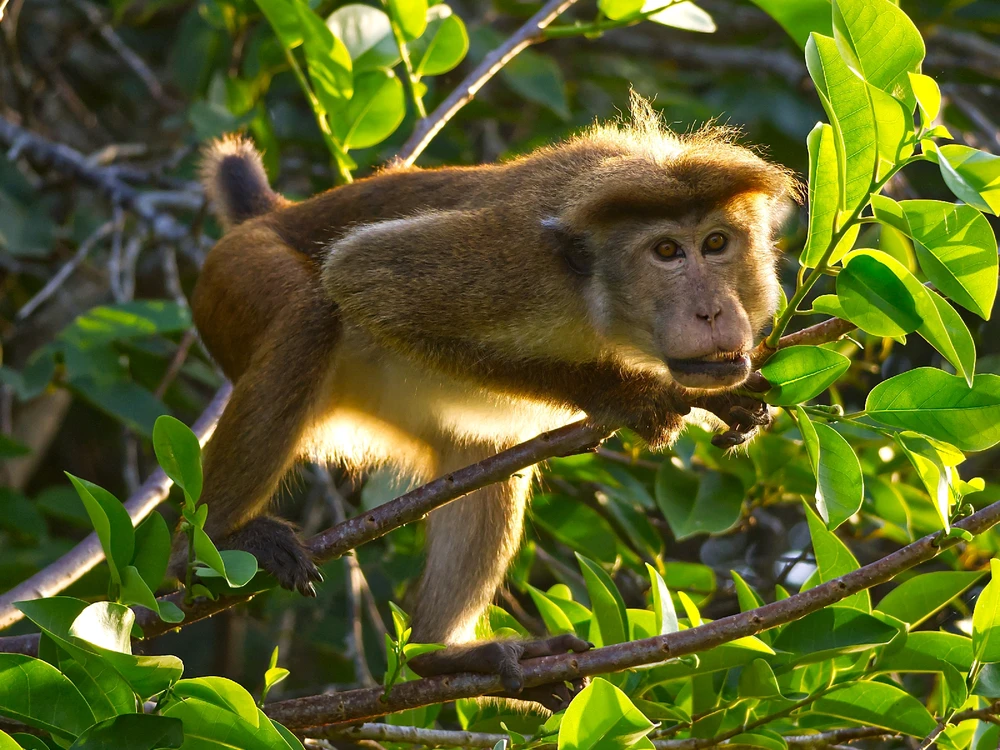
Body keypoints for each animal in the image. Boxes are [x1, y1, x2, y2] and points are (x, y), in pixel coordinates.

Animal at [179, 95, 797, 709]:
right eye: (667, 251)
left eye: (716, 243)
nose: (712, 310)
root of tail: (270, 215)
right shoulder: (512, 263)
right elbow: (362, 274)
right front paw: (630, 395)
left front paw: (725, 401)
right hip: (236, 273)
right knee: (308, 315)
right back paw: (217, 539)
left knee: (485, 453)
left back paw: (439, 654)